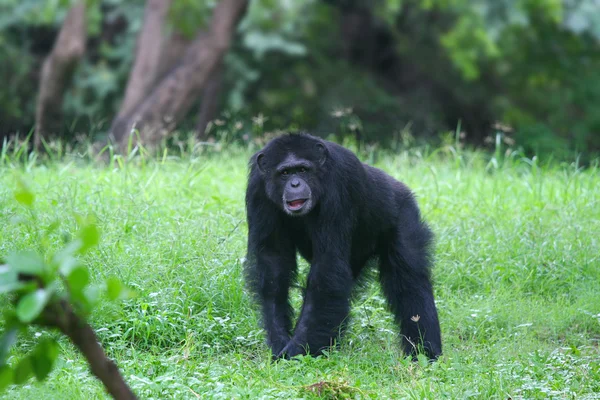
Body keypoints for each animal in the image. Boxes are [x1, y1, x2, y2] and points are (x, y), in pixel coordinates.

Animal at [243, 133, 440, 360]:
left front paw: (297, 350)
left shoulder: (339, 183)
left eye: (302, 170)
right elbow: (273, 263)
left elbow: (327, 267)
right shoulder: (257, 189)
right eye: (284, 173)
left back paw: (424, 352)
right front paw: (280, 340)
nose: (294, 183)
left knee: (410, 281)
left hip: (404, 214)